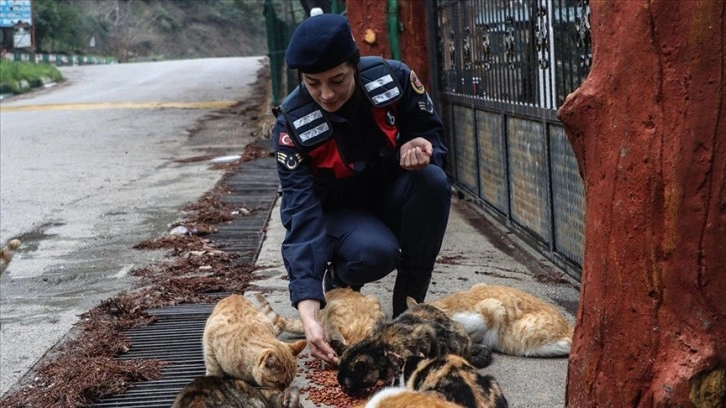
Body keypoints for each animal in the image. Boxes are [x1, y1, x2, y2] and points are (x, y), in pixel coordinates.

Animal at [338, 298, 492, 396]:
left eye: (347, 385)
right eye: (342, 385)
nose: (346, 393)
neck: (379, 346)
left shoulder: (425, 336)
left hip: (457, 339)